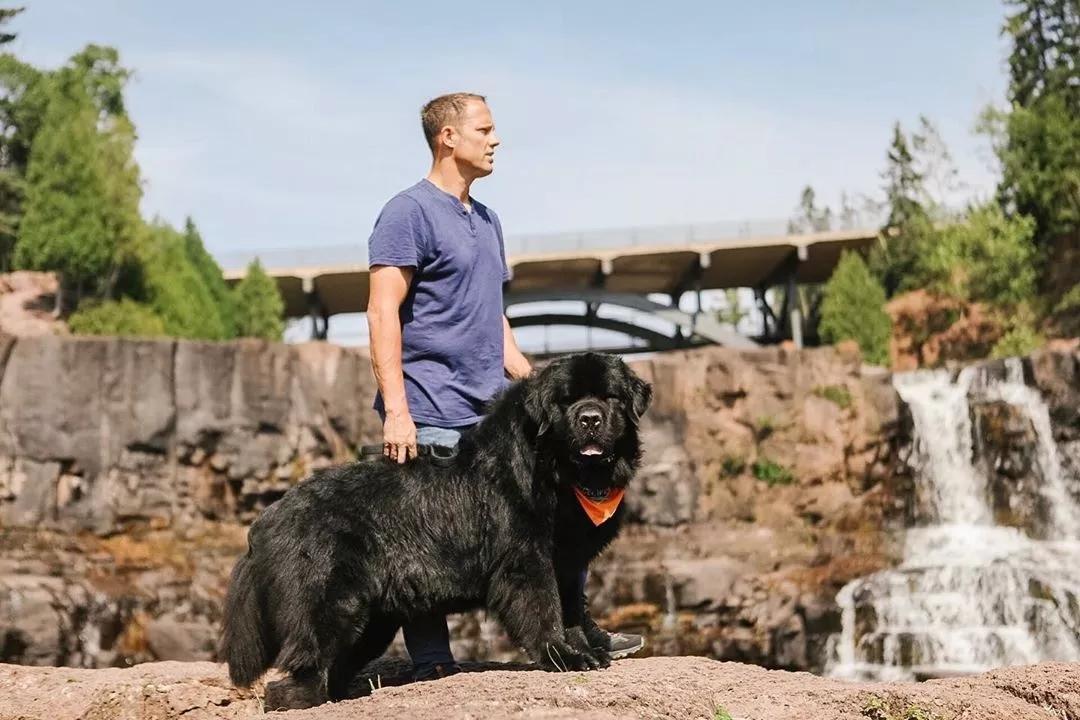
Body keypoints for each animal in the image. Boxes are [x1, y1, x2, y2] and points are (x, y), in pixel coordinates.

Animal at [219, 352, 651, 709]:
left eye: (610, 397)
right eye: (566, 401)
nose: (590, 418)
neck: (555, 470)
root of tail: (271, 514)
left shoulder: (567, 561)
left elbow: (571, 609)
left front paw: (587, 650)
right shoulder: (526, 561)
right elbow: (543, 610)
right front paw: (562, 656)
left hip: (372, 621)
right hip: (331, 604)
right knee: (297, 672)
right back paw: (306, 699)